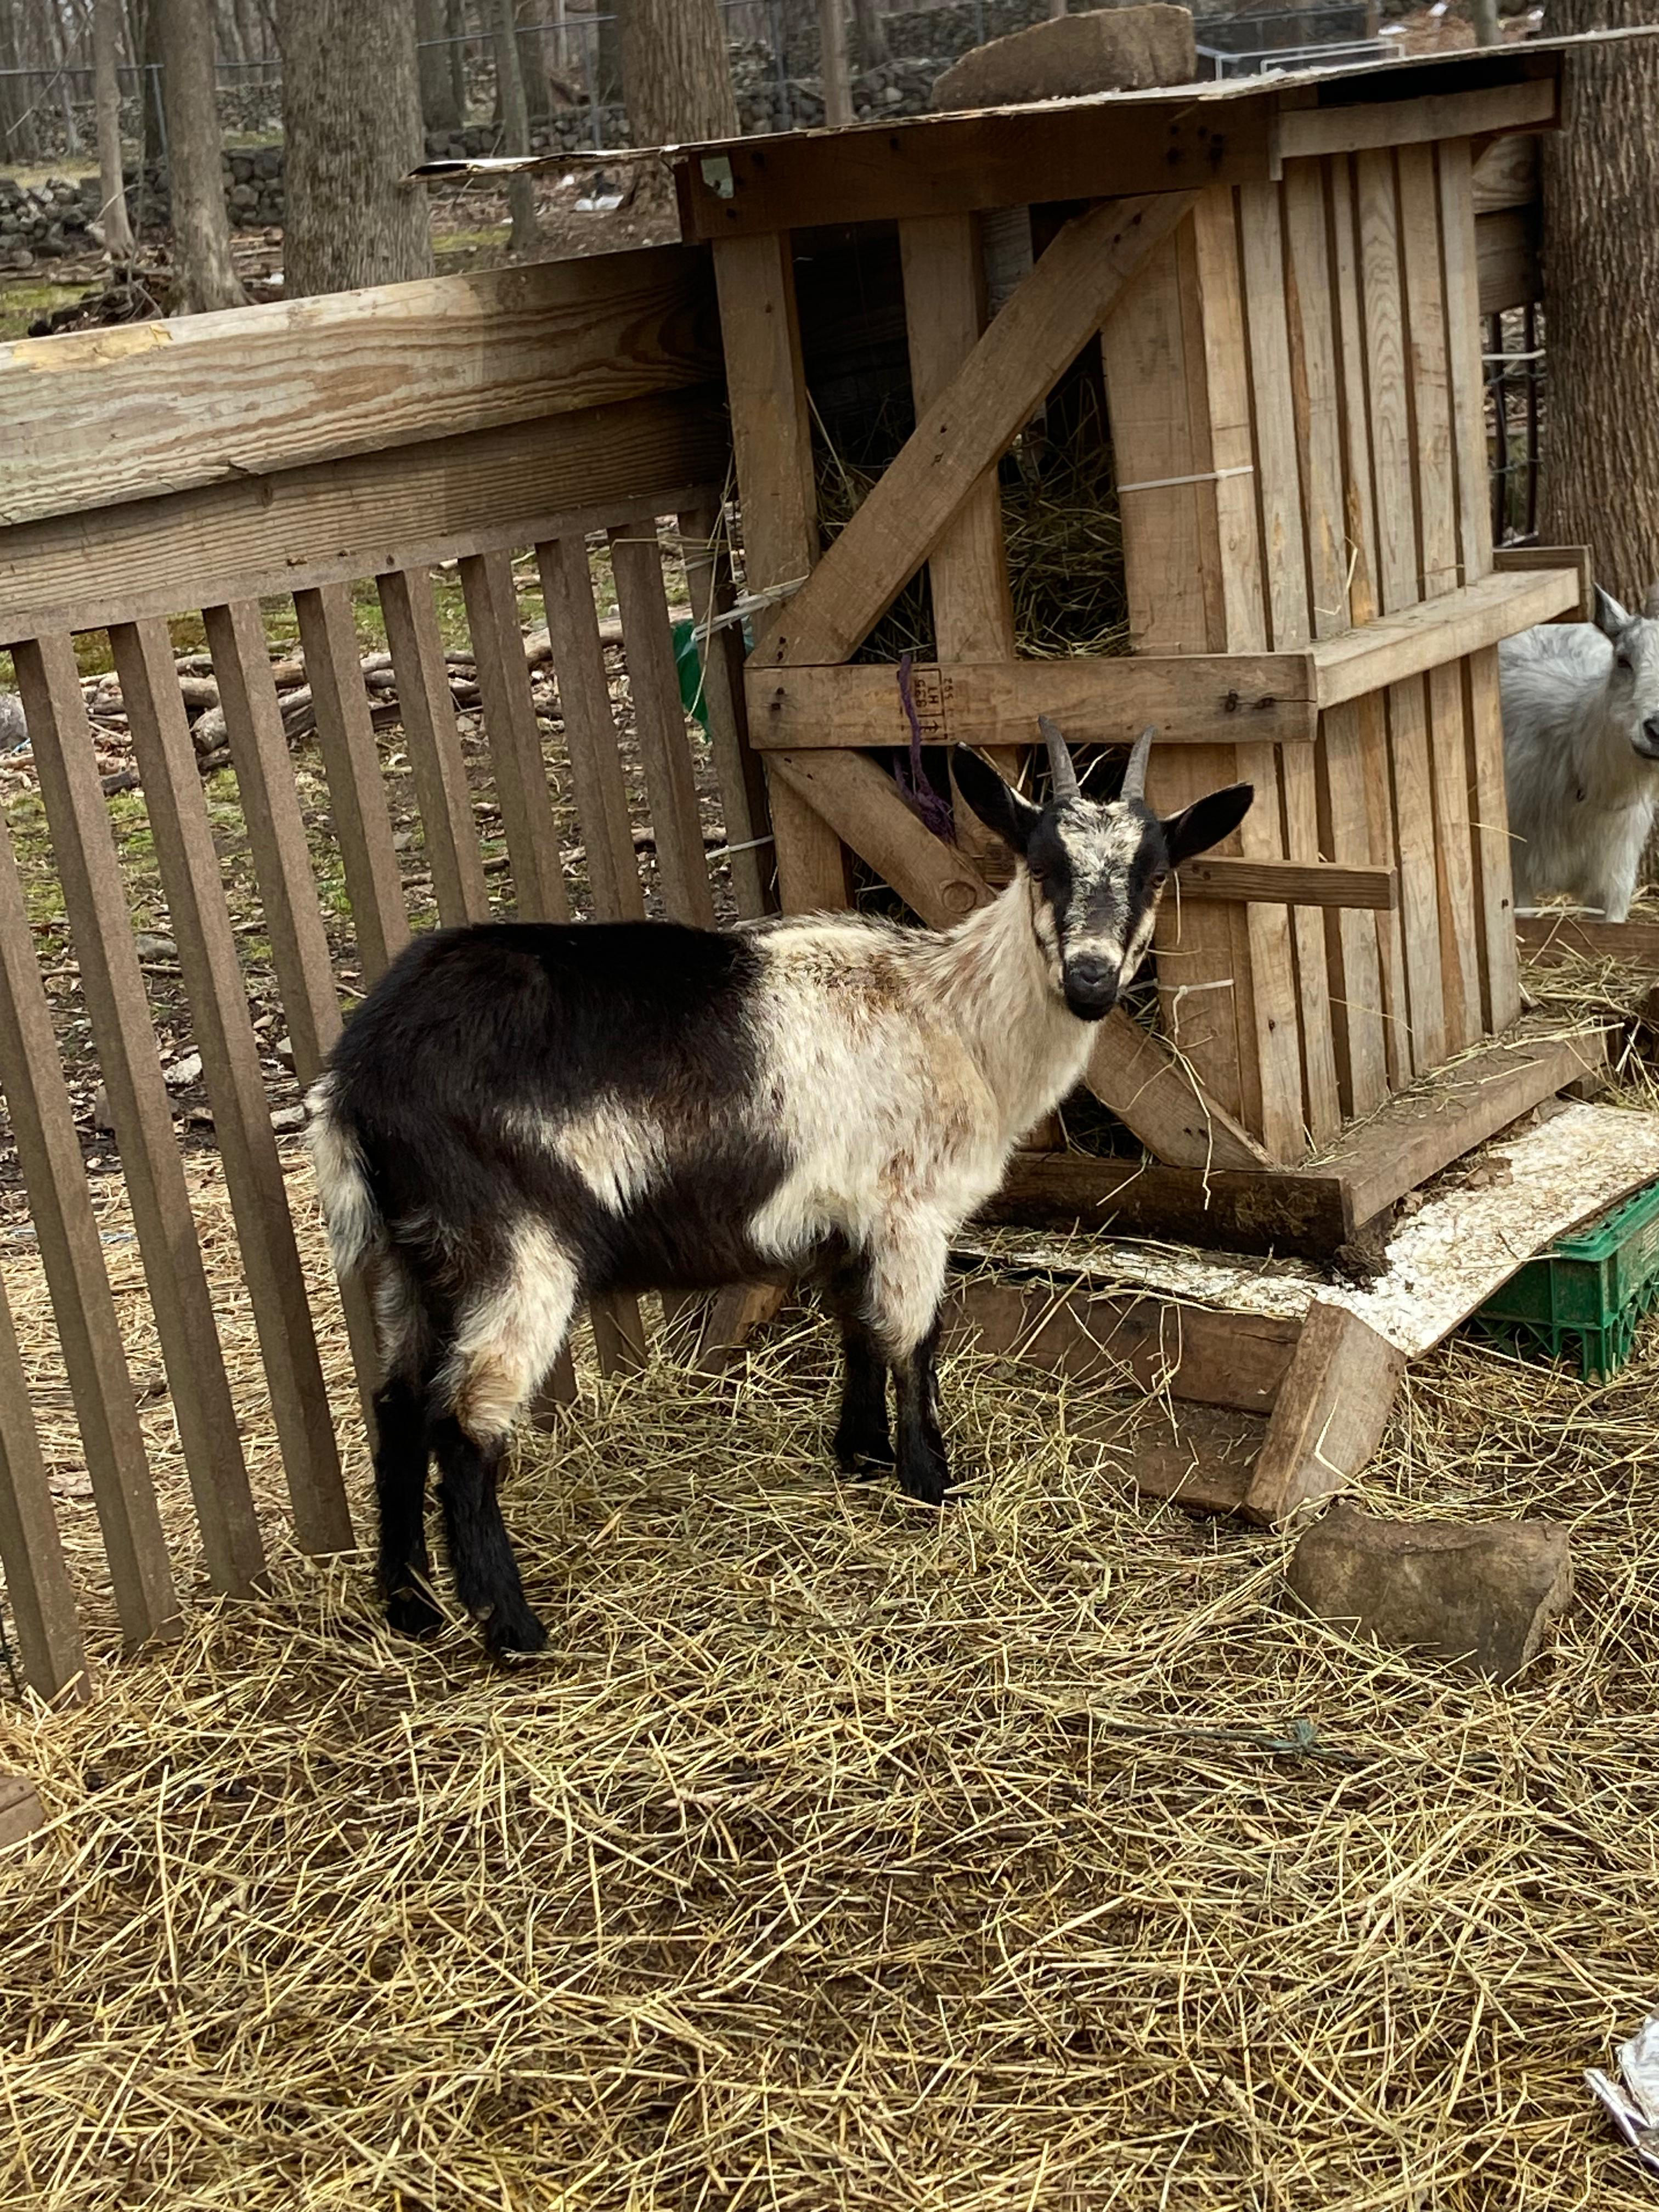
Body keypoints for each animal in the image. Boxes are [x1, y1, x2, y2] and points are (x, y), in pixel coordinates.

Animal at [306, 724, 1253, 1656]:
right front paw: (931, 1484)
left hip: (418, 1258)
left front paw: (862, 1458)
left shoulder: (849, 1220)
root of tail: (358, 1075)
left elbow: (859, 1330)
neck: (954, 1016)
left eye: (1154, 872)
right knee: (463, 1423)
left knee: (395, 1406)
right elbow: (914, 1341)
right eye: (1043, 863)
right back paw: (510, 1625)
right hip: (513, 1247)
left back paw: (411, 1606)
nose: (1092, 980)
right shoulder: (911, 1211)